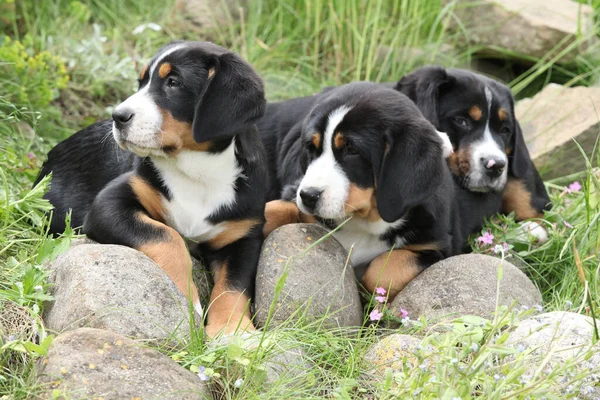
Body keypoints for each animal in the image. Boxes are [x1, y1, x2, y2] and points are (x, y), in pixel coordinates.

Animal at [39, 40, 268, 336]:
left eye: (173, 82)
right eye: (141, 82)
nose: (118, 116)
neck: (197, 172)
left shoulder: (244, 235)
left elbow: (234, 287)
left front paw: (232, 330)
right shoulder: (110, 203)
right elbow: (167, 237)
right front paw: (187, 299)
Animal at [262, 83, 450, 298]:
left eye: (352, 151)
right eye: (311, 148)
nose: (308, 196)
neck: (364, 223)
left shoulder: (437, 248)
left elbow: (382, 271)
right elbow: (276, 208)